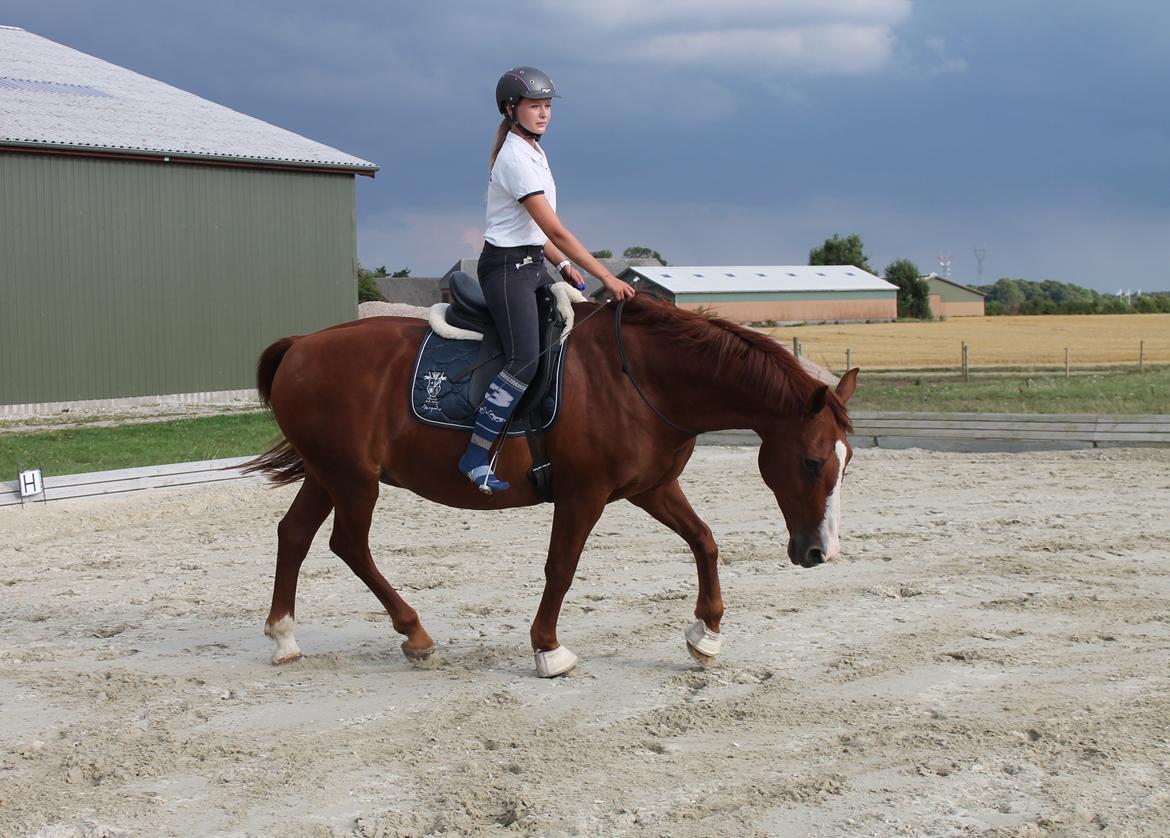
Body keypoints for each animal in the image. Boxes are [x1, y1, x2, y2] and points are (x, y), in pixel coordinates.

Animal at [244, 291, 861, 678]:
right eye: (811, 462)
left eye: (845, 459)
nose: (819, 553)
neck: (639, 377)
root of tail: (301, 345)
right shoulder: (583, 495)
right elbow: (561, 567)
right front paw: (549, 649)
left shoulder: (651, 487)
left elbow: (704, 541)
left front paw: (705, 635)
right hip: (352, 481)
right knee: (348, 545)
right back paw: (414, 635)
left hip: (328, 475)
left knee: (294, 535)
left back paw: (284, 638)